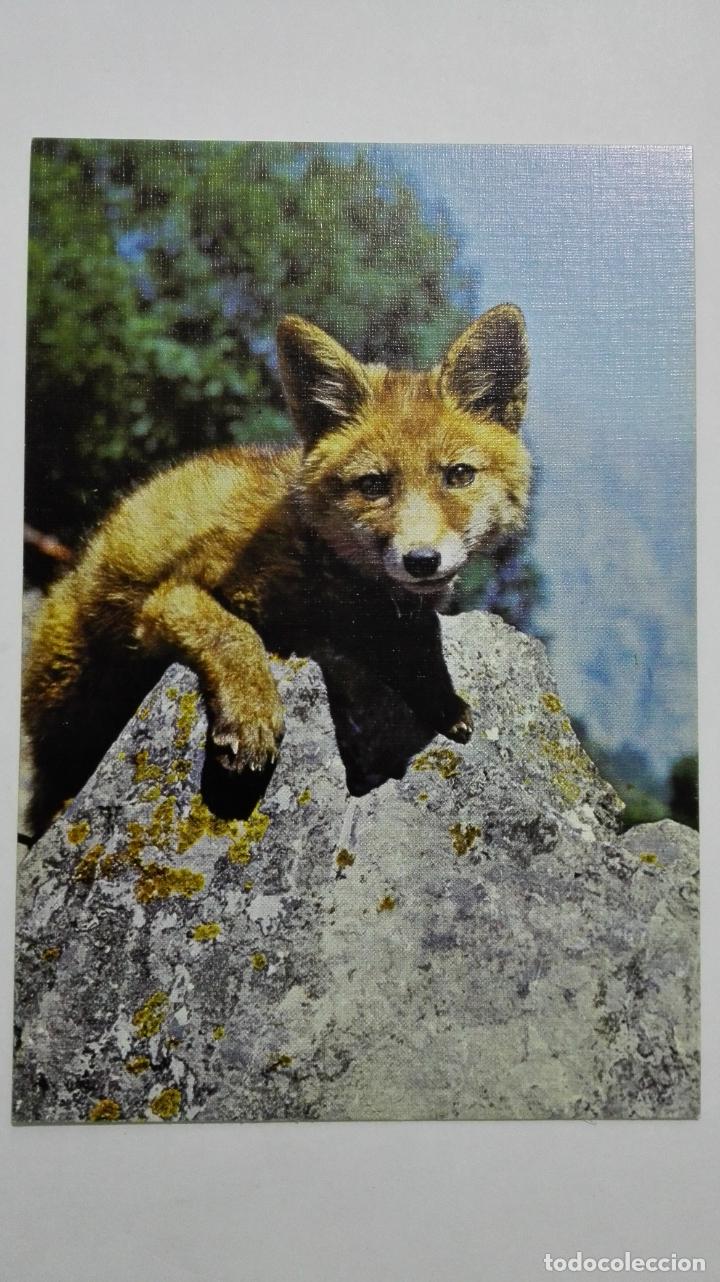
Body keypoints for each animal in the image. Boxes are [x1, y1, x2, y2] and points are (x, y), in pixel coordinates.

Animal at [22, 304, 531, 836]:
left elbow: (423, 636)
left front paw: (439, 695)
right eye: (373, 485)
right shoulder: (169, 598)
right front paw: (253, 715)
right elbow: (235, 634)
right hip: (73, 704)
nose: (422, 560)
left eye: (458, 476)